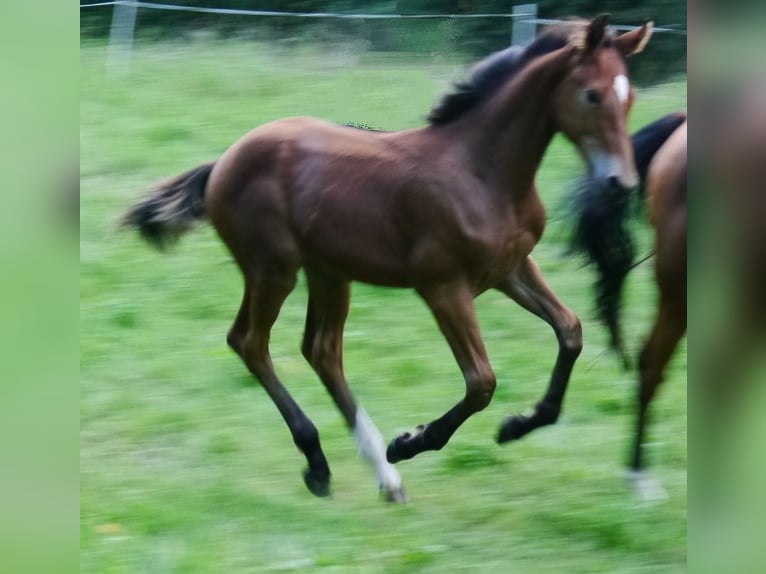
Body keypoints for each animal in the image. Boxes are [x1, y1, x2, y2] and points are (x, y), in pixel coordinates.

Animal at [124, 16, 656, 504]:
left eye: (630, 97)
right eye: (592, 95)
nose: (621, 183)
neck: (483, 172)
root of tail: (224, 160)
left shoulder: (512, 269)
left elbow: (570, 331)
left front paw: (518, 425)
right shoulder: (442, 286)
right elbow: (481, 381)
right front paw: (411, 442)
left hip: (329, 273)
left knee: (320, 350)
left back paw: (383, 476)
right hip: (273, 269)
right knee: (252, 342)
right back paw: (323, 462)